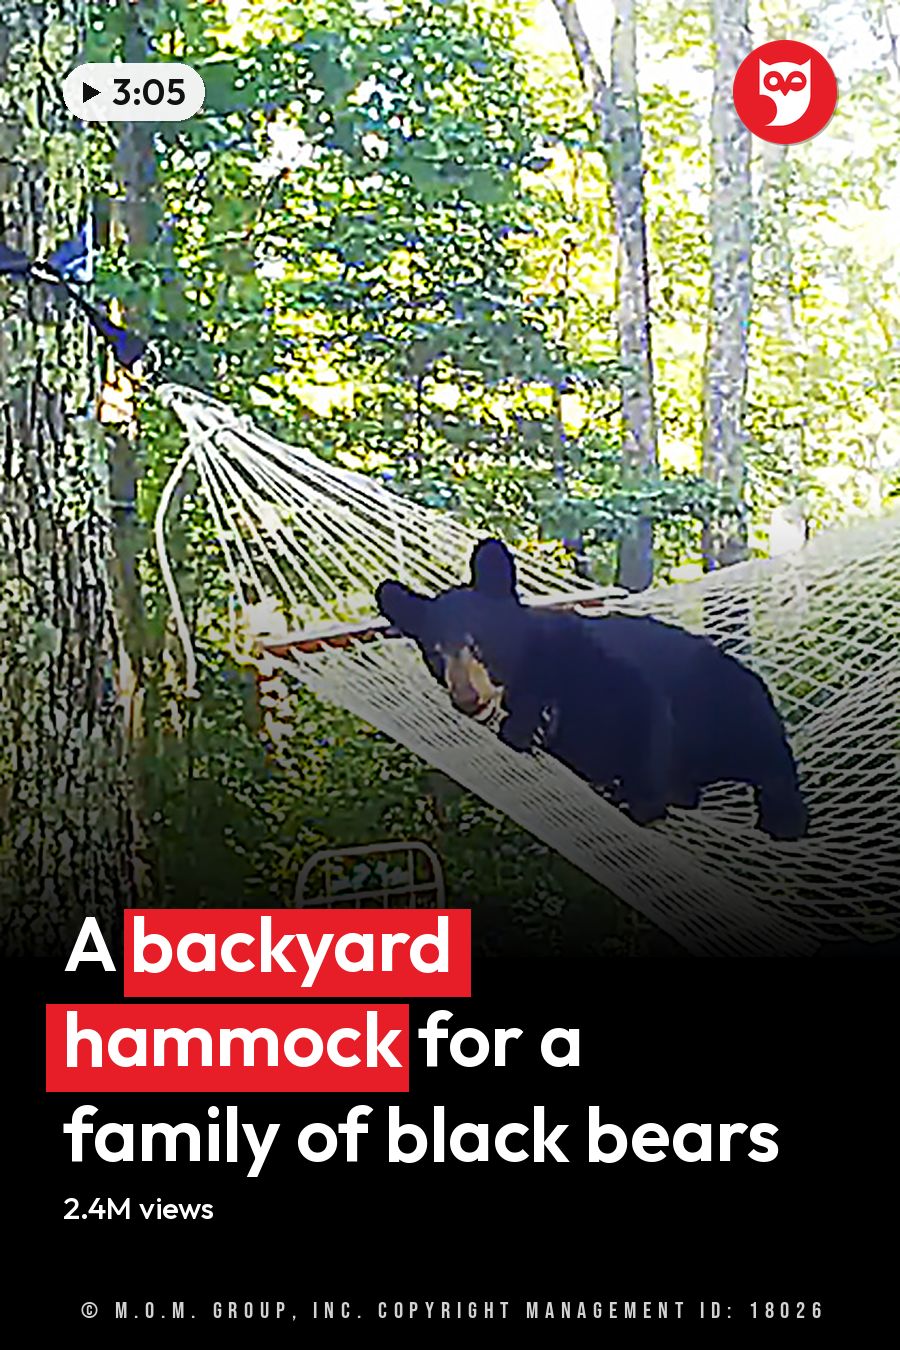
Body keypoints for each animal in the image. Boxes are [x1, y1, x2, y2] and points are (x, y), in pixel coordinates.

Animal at [375, 538, 808, 840]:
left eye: (478, 641)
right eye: (435, 653)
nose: (467, 699)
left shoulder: (593, 662)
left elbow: (644, 708)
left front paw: (643, 803)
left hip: (733, 704)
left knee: (767, 755)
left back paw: (782, 816)